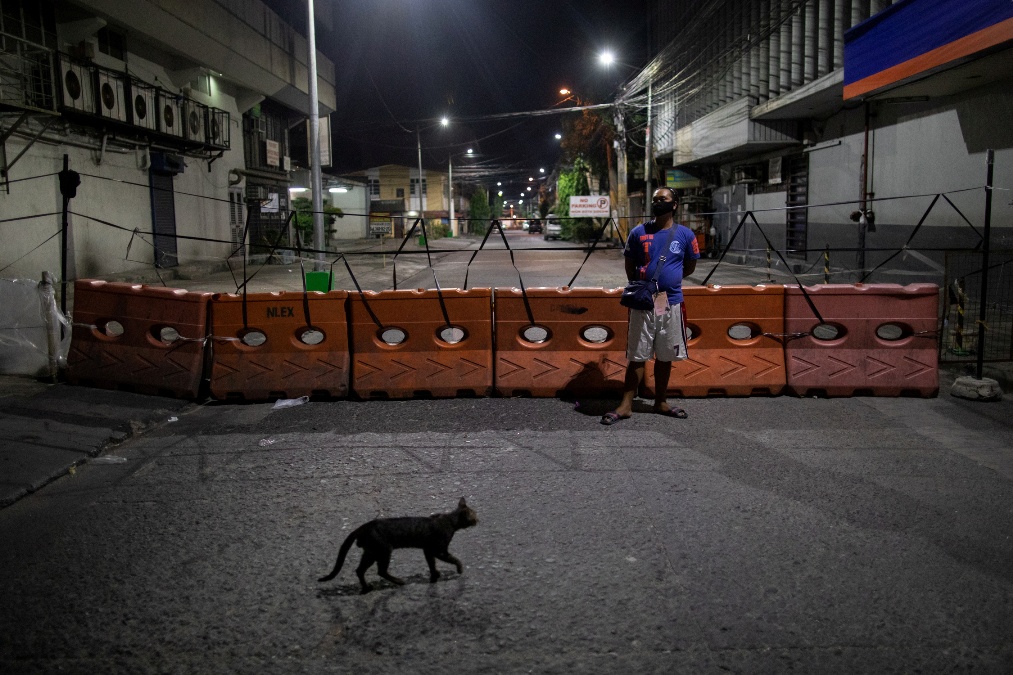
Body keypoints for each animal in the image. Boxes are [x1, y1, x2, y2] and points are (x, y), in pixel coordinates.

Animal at [318, 497, 479, 593]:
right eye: (474, 515)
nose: (479, 519)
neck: (450, 520)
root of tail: (361, 528)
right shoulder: (439, 550)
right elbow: (454, 559)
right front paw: (459, 569)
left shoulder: (427, 549)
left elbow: (431, 563)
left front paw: (435, 574)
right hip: (383, 550)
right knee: (381, 571)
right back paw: (399, 581)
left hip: (371, 552)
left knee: (360, 570)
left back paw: (367, 587)